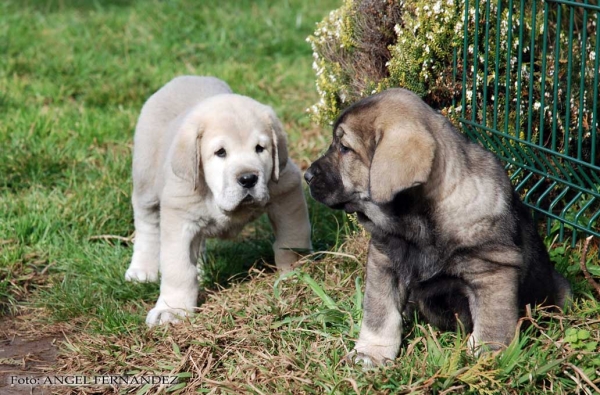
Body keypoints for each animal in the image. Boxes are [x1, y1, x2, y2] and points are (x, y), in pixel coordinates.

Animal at [127, 76, 314, 326]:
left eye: (260, 148)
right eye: (220, 152)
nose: (248, 178)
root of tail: (184, 78)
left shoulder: (286, 188)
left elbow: (292, 240)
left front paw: (294, 274)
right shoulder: (179, 214)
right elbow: (178, 269)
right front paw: (172, 310)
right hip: (145, 177)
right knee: (146, 223)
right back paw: (141, 270)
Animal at [308, 89, 568, 368]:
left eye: (345, 148)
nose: (307, 176)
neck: (418, 223)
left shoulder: (492, 273)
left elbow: (493, 325)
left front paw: (485, 361)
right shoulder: (383, 262)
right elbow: (380, 313)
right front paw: (372, 353)